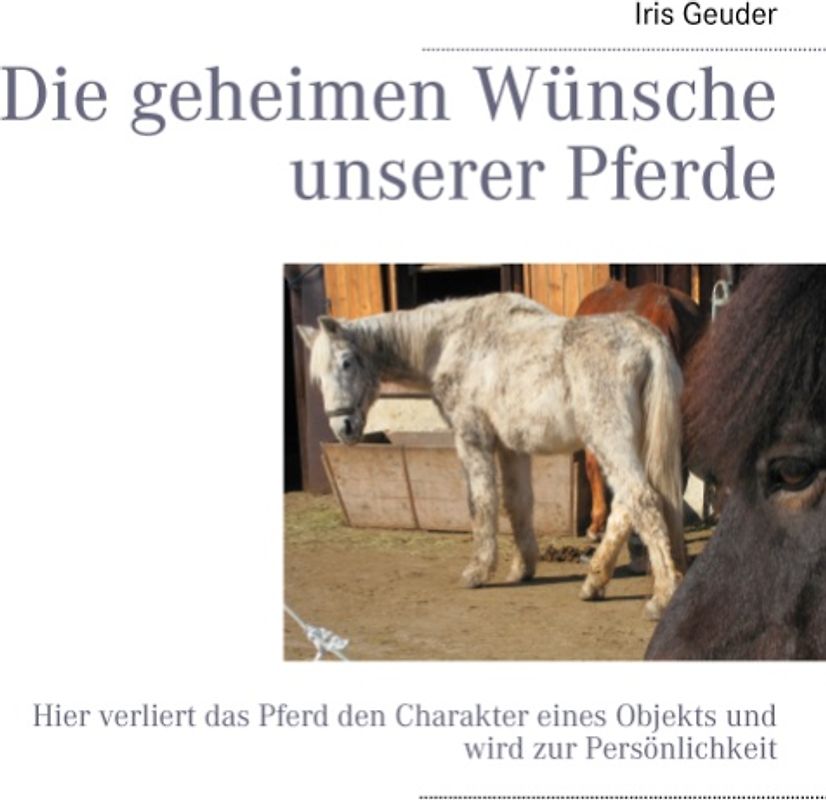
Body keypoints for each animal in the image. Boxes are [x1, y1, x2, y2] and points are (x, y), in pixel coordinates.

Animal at [298, 292, 686, 619]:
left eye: (347, 362)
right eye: (318, 377)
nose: (344, 428)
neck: (450, 342)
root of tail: (644, 335)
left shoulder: (473, 438)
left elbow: (481, 501)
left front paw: (478, 571)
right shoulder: (512, 449)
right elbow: (518, 504)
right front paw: (522, 568)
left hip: (610, 441)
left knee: (642, 501)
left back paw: (661, 598)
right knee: (626, 506)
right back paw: (594, 583)